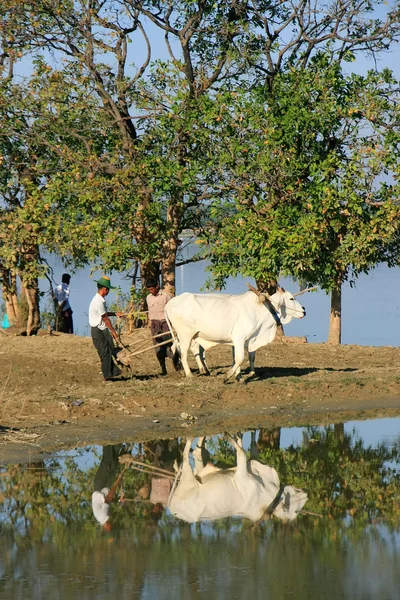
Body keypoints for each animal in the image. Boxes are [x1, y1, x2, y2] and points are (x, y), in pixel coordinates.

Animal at [164, 286, 304, 380]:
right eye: (291, 298)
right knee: (182, 353)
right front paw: (228, 376)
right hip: (185, 335)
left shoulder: (241, 341)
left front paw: (239, 376)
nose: (304, 311)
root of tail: (169, 304)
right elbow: (240, 359)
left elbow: (238, 358)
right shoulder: (239, 338)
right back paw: (189, 374)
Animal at [167, 436, 308, 524]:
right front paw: (236, 435)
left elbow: (242, 451)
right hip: (192, 474)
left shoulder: (242, 474)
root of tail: (172, 509)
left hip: (190, 476)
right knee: (192, 452)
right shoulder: (246, 468)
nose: (306, 493)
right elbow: (247, 448)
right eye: (296, 511)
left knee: (190, 454)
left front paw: (231, 436)